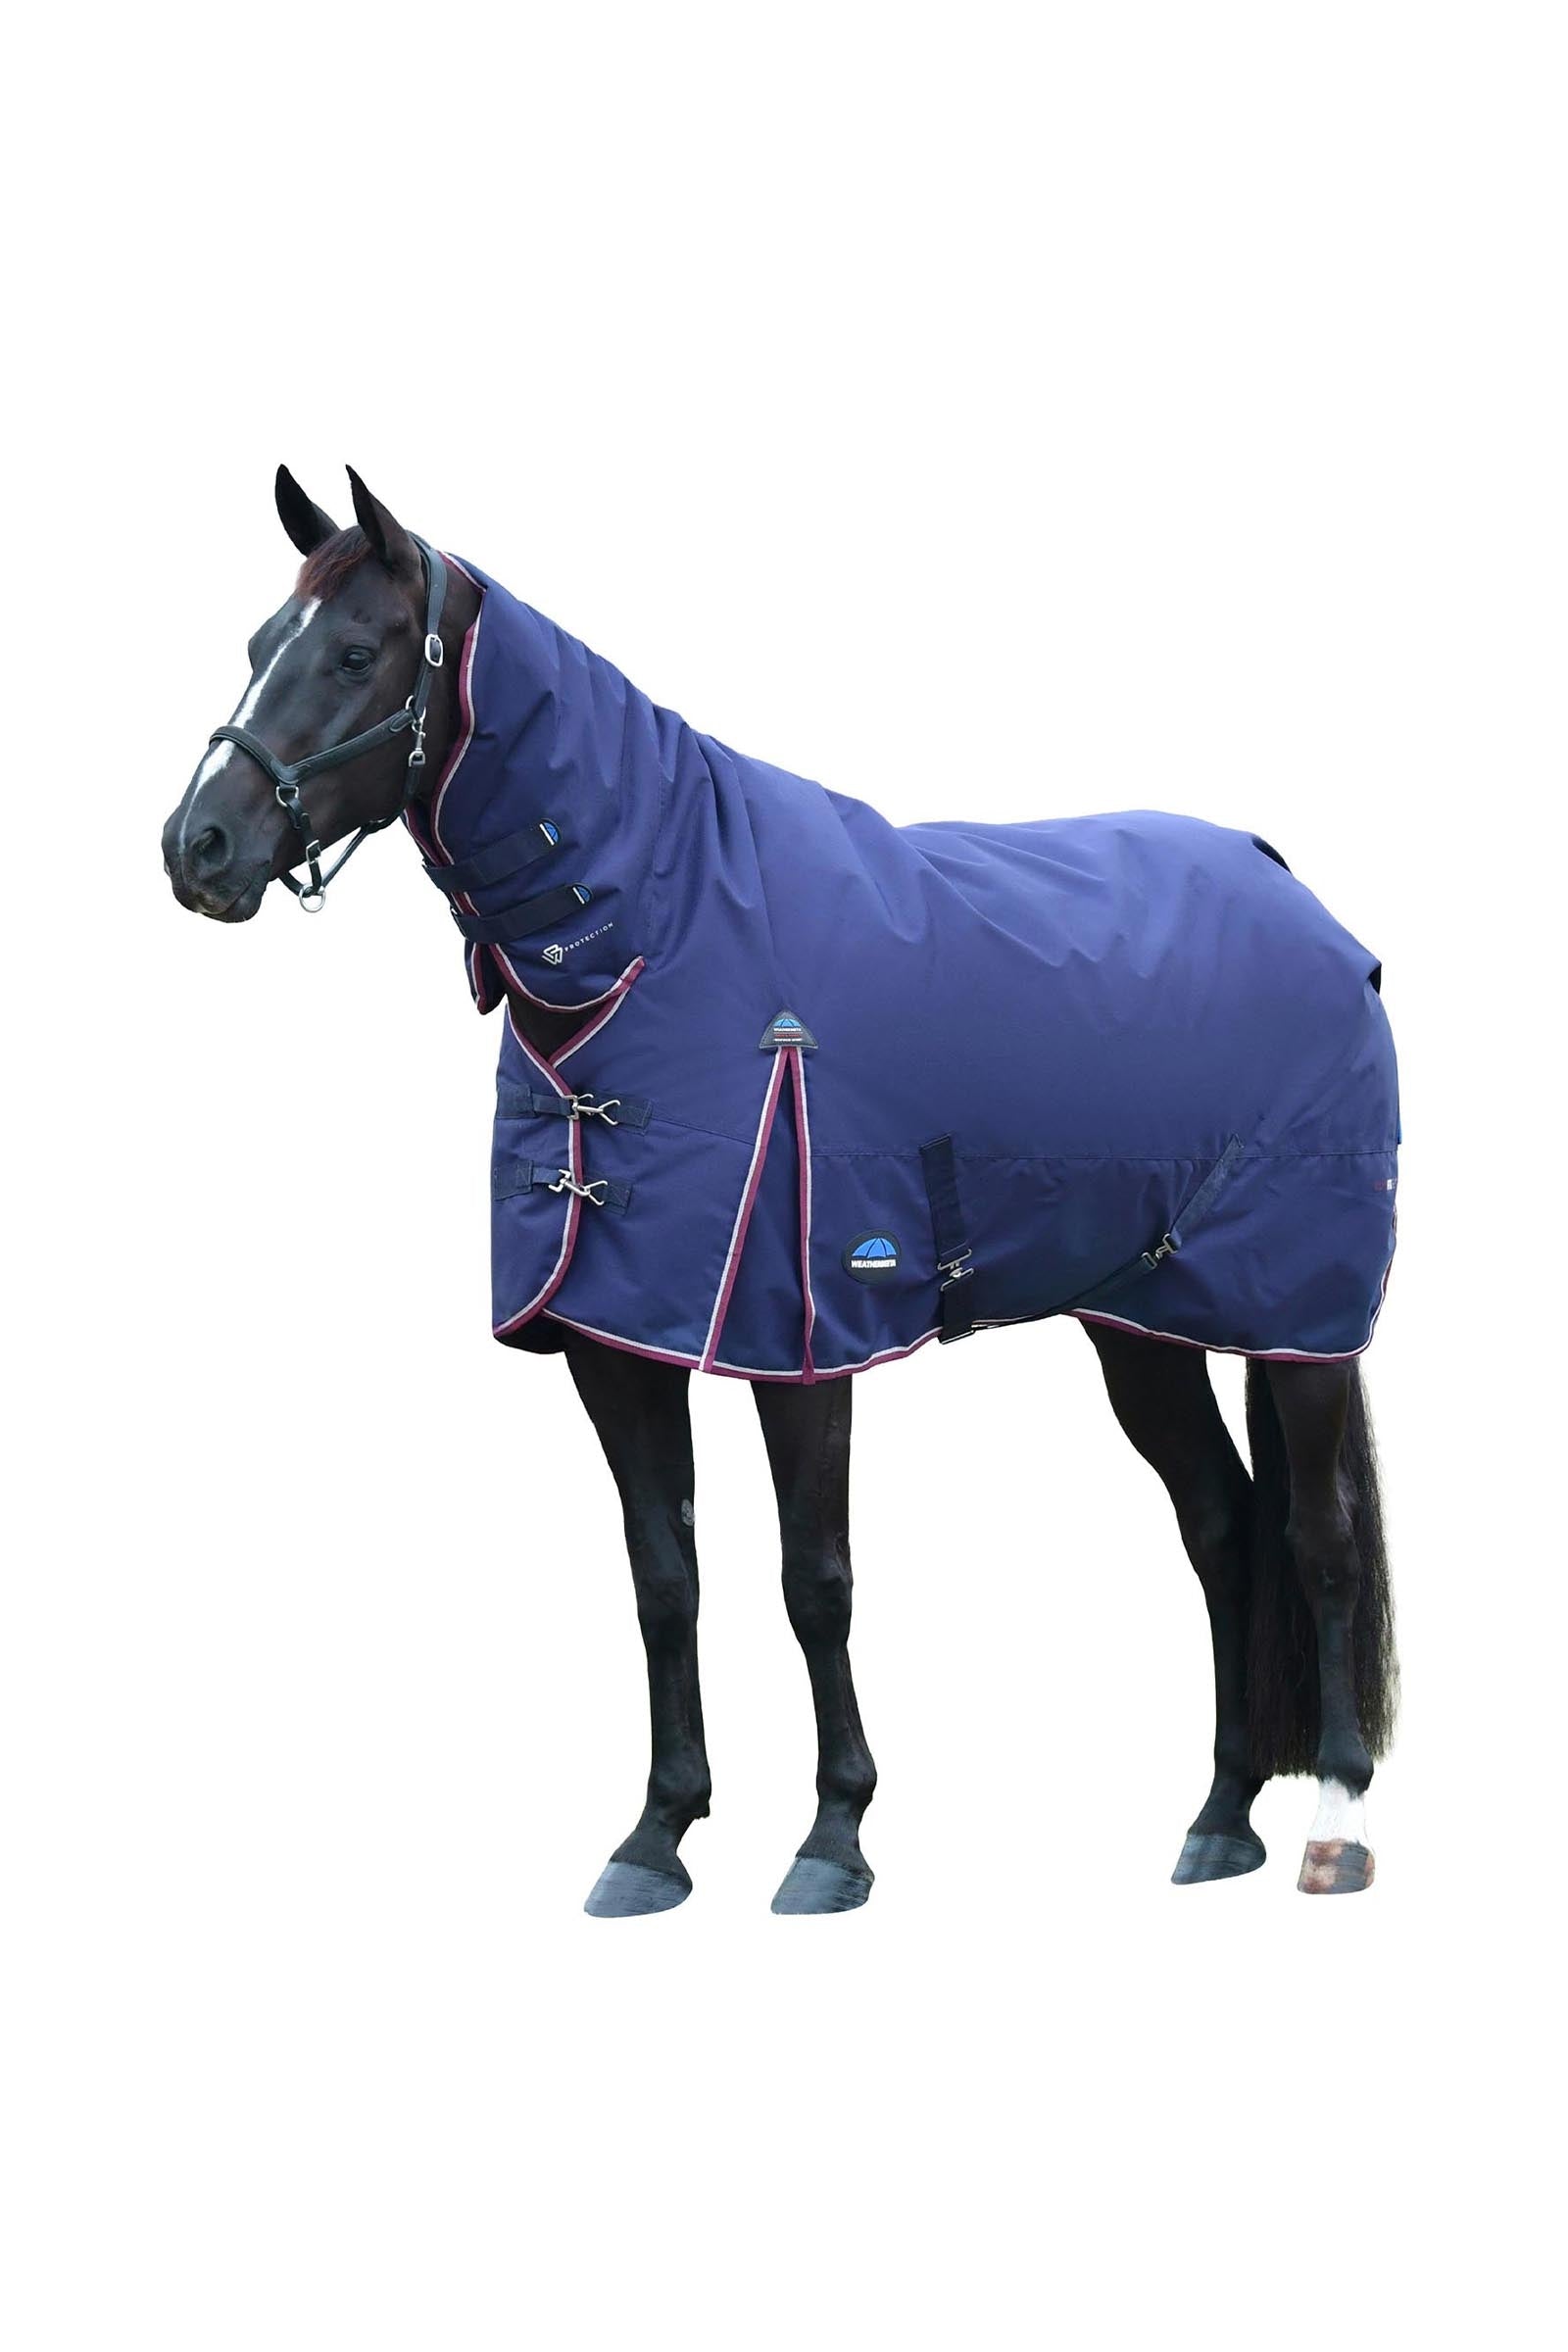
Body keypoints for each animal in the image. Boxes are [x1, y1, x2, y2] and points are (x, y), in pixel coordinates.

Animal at [161, 465, 1399, 1914]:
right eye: (258, 644)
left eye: (356, 653)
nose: (197, 845)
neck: (662, 936)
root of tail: (1289, 890)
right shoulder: (619, 1338)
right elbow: (664, 1578)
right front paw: (656, 1835)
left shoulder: (801, 1336)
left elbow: (816, 1579)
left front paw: (833, 1838)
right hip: (1142, 1326)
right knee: (1221, 1526)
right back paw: (1217, 1821)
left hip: (1299, 1322)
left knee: (1316, 1535)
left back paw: (1335, 1817)